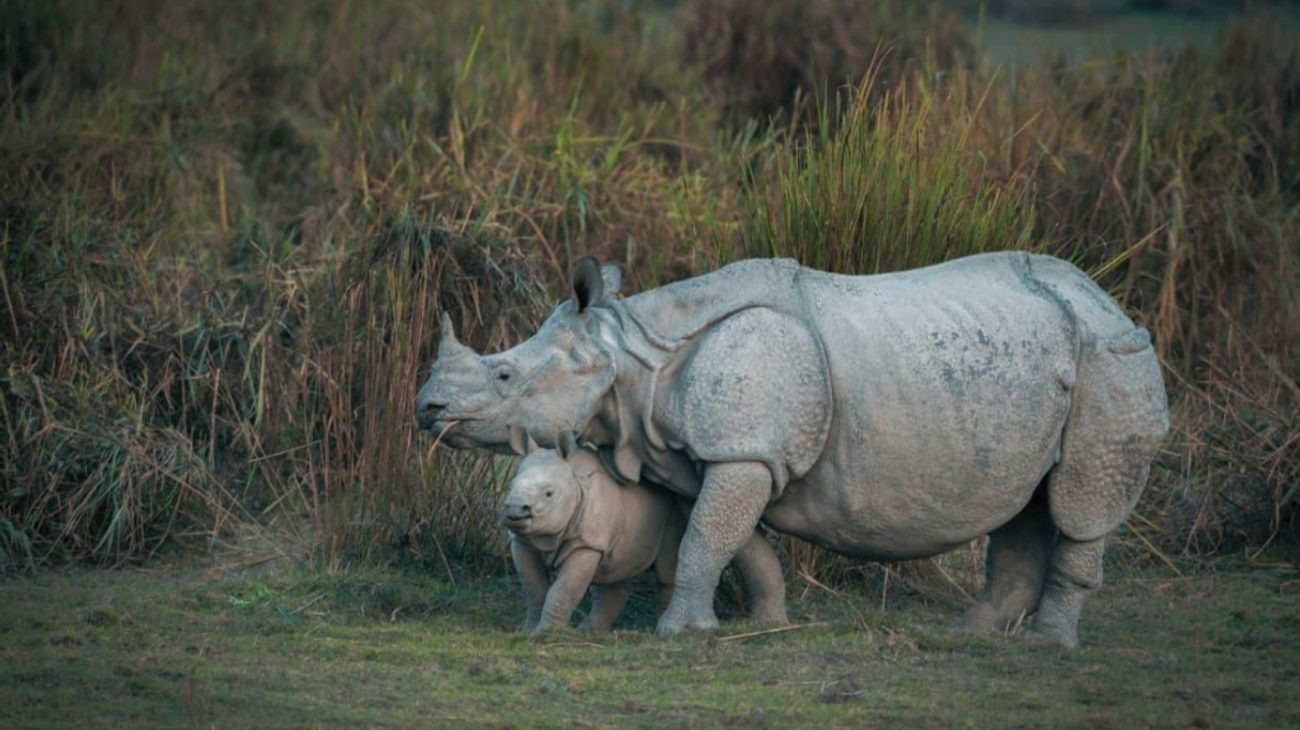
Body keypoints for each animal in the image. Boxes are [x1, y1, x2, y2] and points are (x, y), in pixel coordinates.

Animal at [416, 252, 1169, 646]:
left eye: (504, 375)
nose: (427, 409)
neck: (629, 353)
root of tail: (1110, 300)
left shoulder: (742, 450)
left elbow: (706, 537)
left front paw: (679, 634)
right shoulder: (720, 456)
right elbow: (737, 540)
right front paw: (766, 622)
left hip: (1111, 359)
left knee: (1080, 504)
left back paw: (1047, 644)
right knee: (1026, 500)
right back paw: (971, 634)